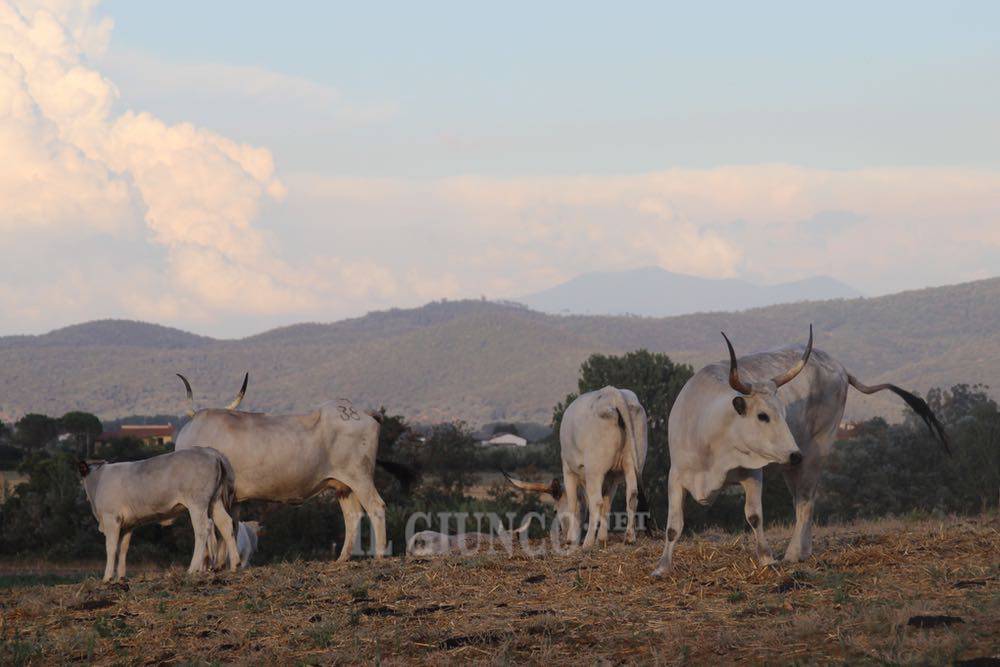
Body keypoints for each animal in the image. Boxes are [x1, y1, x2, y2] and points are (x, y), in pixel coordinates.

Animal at [77, 446, 240, 580]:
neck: (98, 480)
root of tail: (209, 451)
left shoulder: (111, 518)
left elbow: (111, 548)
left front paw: (107, 577)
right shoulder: (128, 524)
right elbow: (122, 549)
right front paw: (120, 577)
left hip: (197, 504)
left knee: (203, 529)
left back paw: (192, 568)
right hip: (215, 501)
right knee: (226, 524)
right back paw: (235, 565)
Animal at [508, 388, 648, 552]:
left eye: (555, 510)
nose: (563, 534)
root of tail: (612, 392)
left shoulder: (569, 471)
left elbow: (574, 504)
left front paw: (571, 539)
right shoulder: (612, 478)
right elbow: (607, 505)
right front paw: (602, 539)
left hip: (594, 470)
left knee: (597, 502)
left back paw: (587, 543)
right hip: (631, 464)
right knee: (631, 496)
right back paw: (630, 538)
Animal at [652, 326, 948, 576]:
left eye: (783, 413)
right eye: (762, 415)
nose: (795, 453)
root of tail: (839, 367)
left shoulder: (753, 473)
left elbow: (754, 516)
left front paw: (767, 559)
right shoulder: (676, 476)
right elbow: (673, 526)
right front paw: (662, 568)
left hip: (815, 451)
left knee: (805, 500)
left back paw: (794, 554)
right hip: (793, 465)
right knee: (801, 500)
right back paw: (804, 550)